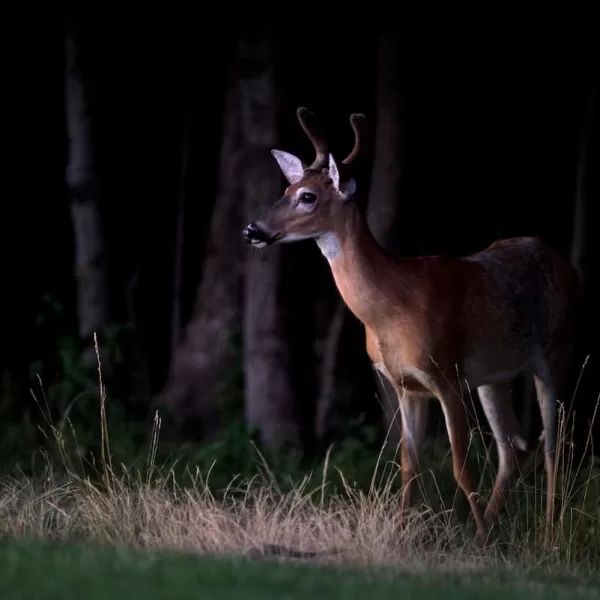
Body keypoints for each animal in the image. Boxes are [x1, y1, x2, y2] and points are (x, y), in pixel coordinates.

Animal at [243, 105, 580, 548]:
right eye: (286, 190)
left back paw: (547, 533)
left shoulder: (446, 373)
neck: (390, 309)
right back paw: (491, 531)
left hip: (556, 352)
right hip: (495, 375)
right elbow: (409, 464)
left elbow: (459, 464)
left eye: (308, 196)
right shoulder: (404, 384)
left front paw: (475, 534)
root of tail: (569, 267)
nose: (252, 230)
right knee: (515, 447)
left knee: (553, 444)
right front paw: (406, 534)